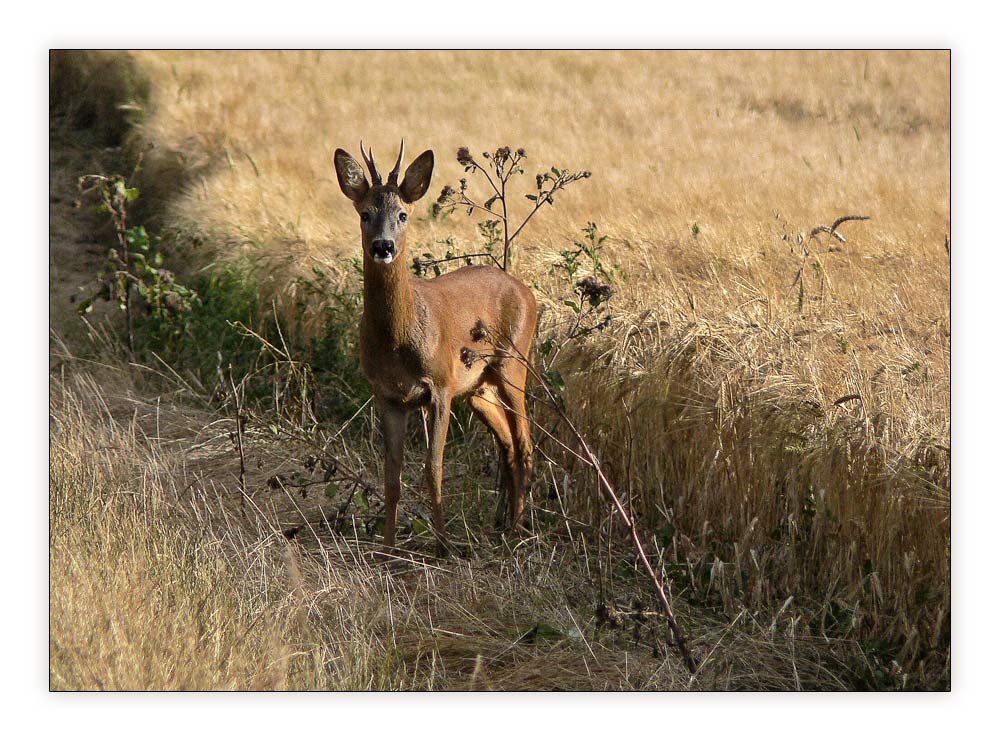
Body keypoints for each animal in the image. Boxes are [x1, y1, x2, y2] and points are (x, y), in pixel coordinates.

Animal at [334, 142, 540, 552]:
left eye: (402, 214)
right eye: (365, 213)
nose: (383, 246)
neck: (398, 340)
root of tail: (528, 292)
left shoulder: (441, 386)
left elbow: (434, 468)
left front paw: (444, 544)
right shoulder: (388, 395)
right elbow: (392, 475)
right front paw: (387, 548)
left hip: (513, 363)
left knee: (525, 445)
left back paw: (516, 532)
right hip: (478, 388)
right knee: (509, 445)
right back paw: (504, 526)